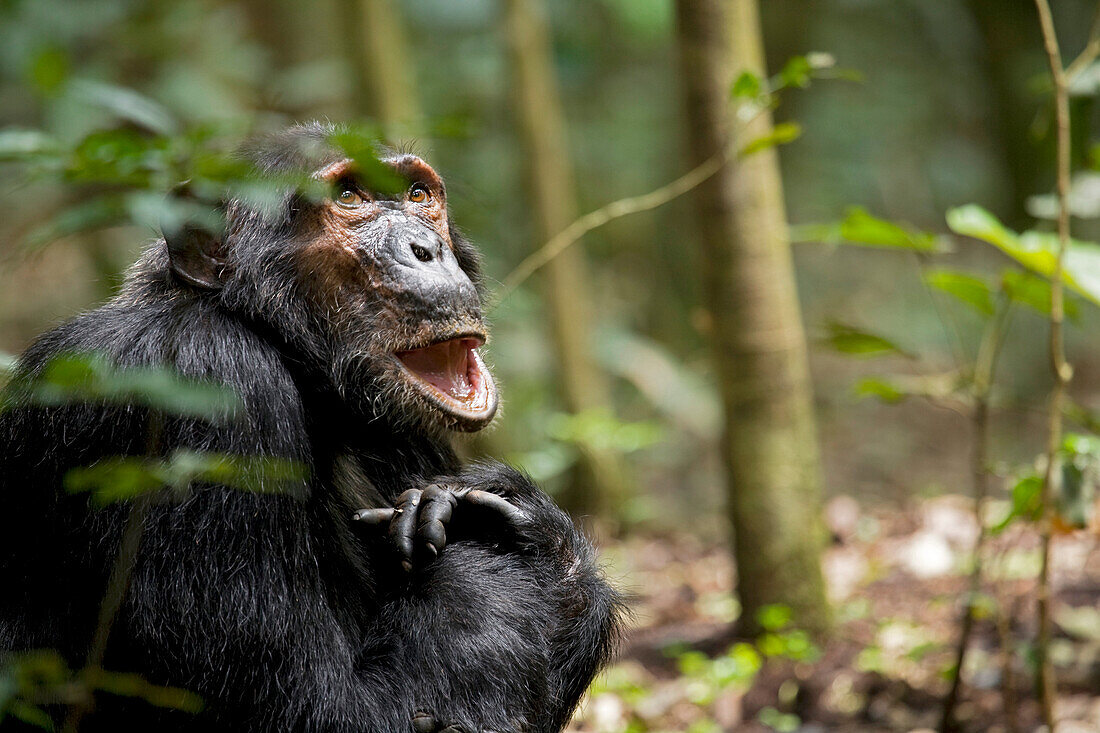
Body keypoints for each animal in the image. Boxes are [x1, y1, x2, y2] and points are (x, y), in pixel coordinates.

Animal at [0, 124, 620, 730]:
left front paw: (522, 517)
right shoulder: (203, 385)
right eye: (349, 198)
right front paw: (480, 533)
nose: (426, 248)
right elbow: (316, 708)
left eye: (419, 195)